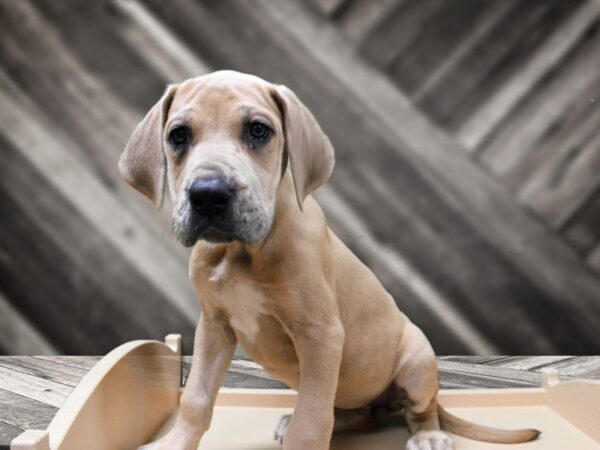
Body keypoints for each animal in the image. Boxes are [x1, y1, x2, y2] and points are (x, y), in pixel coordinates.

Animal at [120, 71, 540, 450]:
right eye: (178, 136)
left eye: (258, 131)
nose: (208, 194)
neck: (242, 251)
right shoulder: (214, 325)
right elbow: (196, 399)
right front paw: (174, 443)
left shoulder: (320, 334)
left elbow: (312, 422)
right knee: (349, 412)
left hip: (417, 360)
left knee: (419, 408)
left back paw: (428, 434)